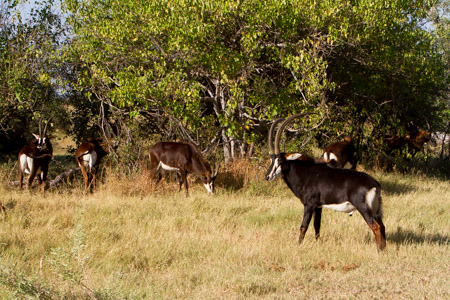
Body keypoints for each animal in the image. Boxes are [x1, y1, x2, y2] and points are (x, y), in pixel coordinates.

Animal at [268, 113, 386, 252]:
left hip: (363, 208)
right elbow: (317, 225)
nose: (268, 176)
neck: (306, 173)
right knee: (382, 226)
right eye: (271, 159)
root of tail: (374, 184)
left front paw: (298, 245)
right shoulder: (318, 207)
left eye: (280, 160)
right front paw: (319, 244)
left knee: (375, 226)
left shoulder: (309, 205)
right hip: (375, 209)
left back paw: (379, 250)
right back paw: (384, 249)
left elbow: (303, 226)